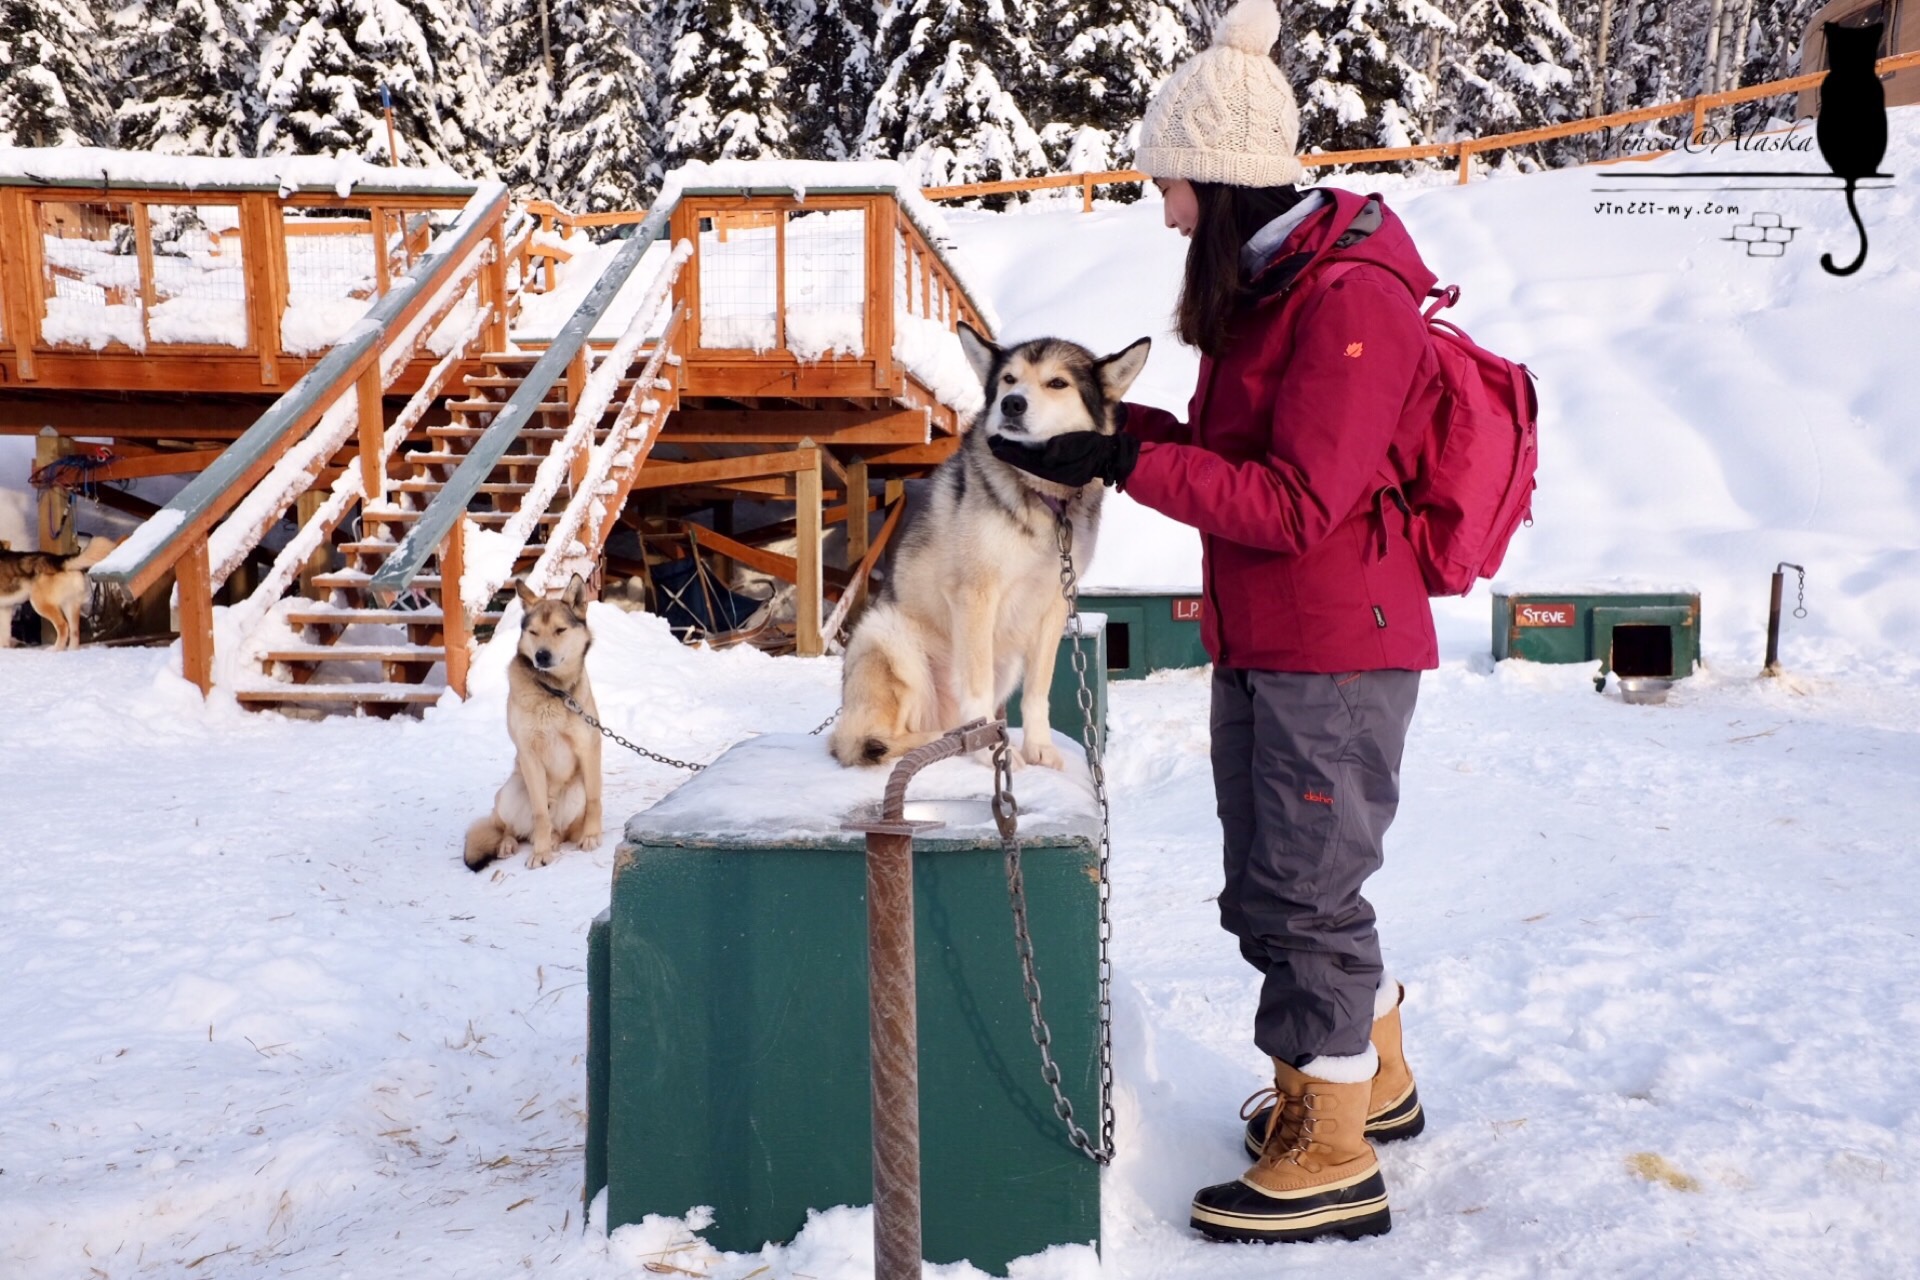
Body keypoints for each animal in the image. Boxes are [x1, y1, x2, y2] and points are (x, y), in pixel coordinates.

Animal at [458, 579, 595, 871]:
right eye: (533, 632)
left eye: (560, 630)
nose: (541, 655)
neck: (554, 692)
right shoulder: (530, 755)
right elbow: (540, 814)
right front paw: (541, 853)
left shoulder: (588, 747)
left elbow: (594, 800)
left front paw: (591, 836)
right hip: (511, 791)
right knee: (510, 829)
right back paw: (509, 844)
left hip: (575, 789)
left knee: (559, 829)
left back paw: (554, 839)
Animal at [829, 326, 1152, 771]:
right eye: (1009, 379)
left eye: (1057, 383)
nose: (1012, 403)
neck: (1043, 498)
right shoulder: (975, 594)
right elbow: (977, 687)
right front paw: (987, 749)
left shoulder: (1055, 603)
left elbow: (1038, 691)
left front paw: (1039, 747)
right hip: (888, 636)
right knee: (876, 740)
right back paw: (948, 739)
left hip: (1007, 660)